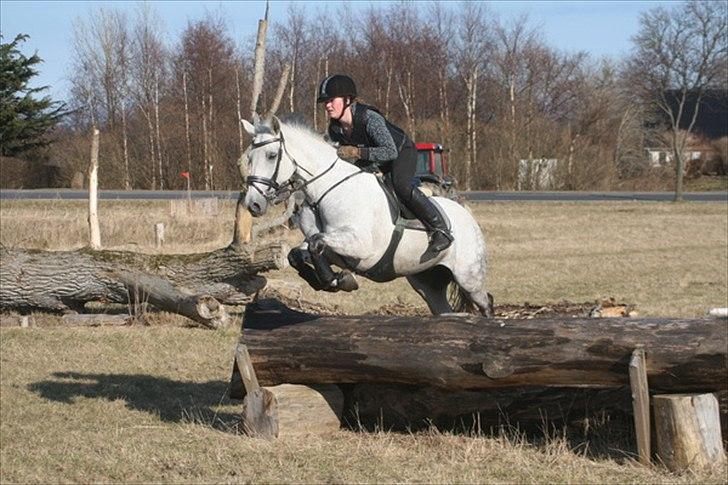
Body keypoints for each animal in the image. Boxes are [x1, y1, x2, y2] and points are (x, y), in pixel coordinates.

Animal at [242, 115, 492, 316]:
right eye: (249, 158)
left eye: (272, 155)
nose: (253, 204)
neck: (325, 190)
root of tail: (467, 214)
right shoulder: (331, 248)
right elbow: (298, 252)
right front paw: (331, 280)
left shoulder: (361, 246)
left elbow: (316, 243)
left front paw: (339, 280)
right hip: (426, 281)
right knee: (443, 309)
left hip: (469, 277)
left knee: (485, 302)